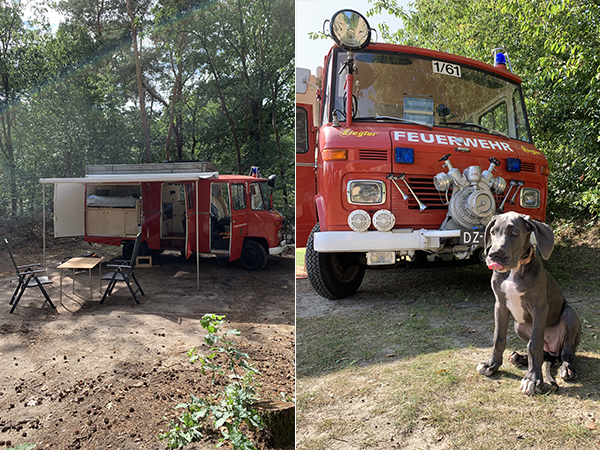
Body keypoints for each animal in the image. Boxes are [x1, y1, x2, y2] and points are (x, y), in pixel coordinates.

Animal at [478, 211, 580, 394]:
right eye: (493, 232)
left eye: (514, 233)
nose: (493, 254)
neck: (514, 270)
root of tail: (553, 352)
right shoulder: (500, 306)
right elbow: (498, 338)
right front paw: (492, 365)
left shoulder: (539, 308)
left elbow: (534, 344)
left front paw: (533, 378)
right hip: (518, 325)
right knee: (544, 353)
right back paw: (520, 357)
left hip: (570, 315)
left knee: (566, 351)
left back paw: (567, 368)